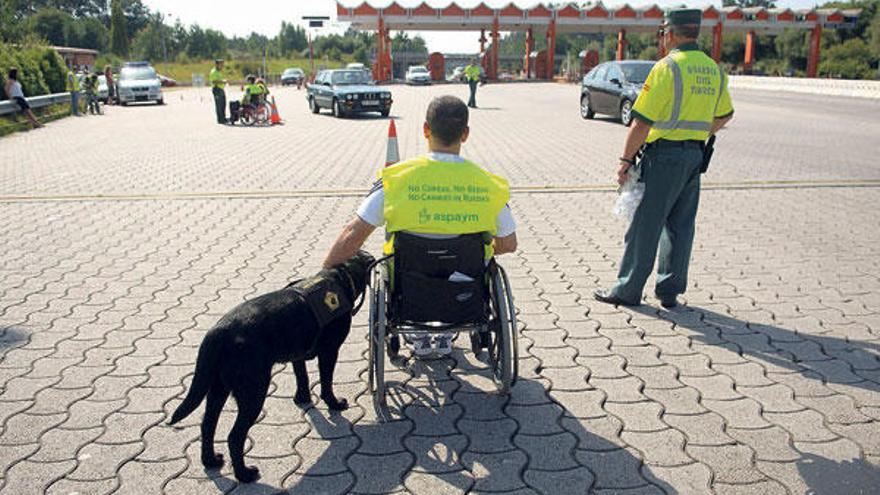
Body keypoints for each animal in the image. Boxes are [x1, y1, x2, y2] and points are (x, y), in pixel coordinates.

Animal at [169, 250, 374, 482]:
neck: (341, 275)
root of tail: (218, 333)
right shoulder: (329, 351)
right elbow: (326, 382)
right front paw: (334, 403)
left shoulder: (297, 354)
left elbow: (302, 377)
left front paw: (303, 398)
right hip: (254, 390)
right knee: (234, 436)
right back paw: (245, 474)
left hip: (217, 388)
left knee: (207, 425)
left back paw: (210, 460)